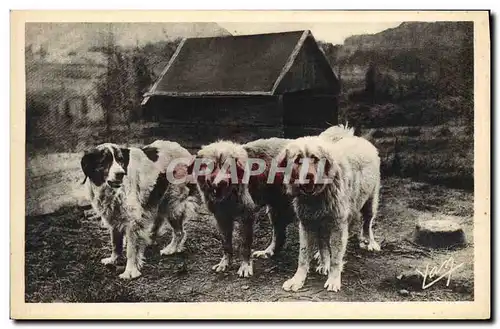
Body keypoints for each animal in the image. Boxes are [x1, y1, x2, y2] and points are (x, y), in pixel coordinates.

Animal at [80, 140, 197, 278]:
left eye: (120, 160)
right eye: (104, 161)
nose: (120, 174)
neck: (112, 191)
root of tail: (183, 149)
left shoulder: (132, 222)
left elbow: (131, 249)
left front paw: (130, 271)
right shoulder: (114, 217)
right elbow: (115, 242)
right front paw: (113, 259)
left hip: (173, 204)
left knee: (179, 232)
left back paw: (171, 249)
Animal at [280, 129, 380, 292]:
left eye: (314, 158)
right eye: (298, 159)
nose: (308, 176)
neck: (317, 196)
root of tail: (354, 136)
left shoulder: (338, 226)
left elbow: (336, 258)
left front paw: (333, 279)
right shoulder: (307, 224)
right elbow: (303, 256)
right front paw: (298, 279)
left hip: (370, 201)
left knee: (368, 222)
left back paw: (369, 242)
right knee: (324, 242)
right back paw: (321, 259)